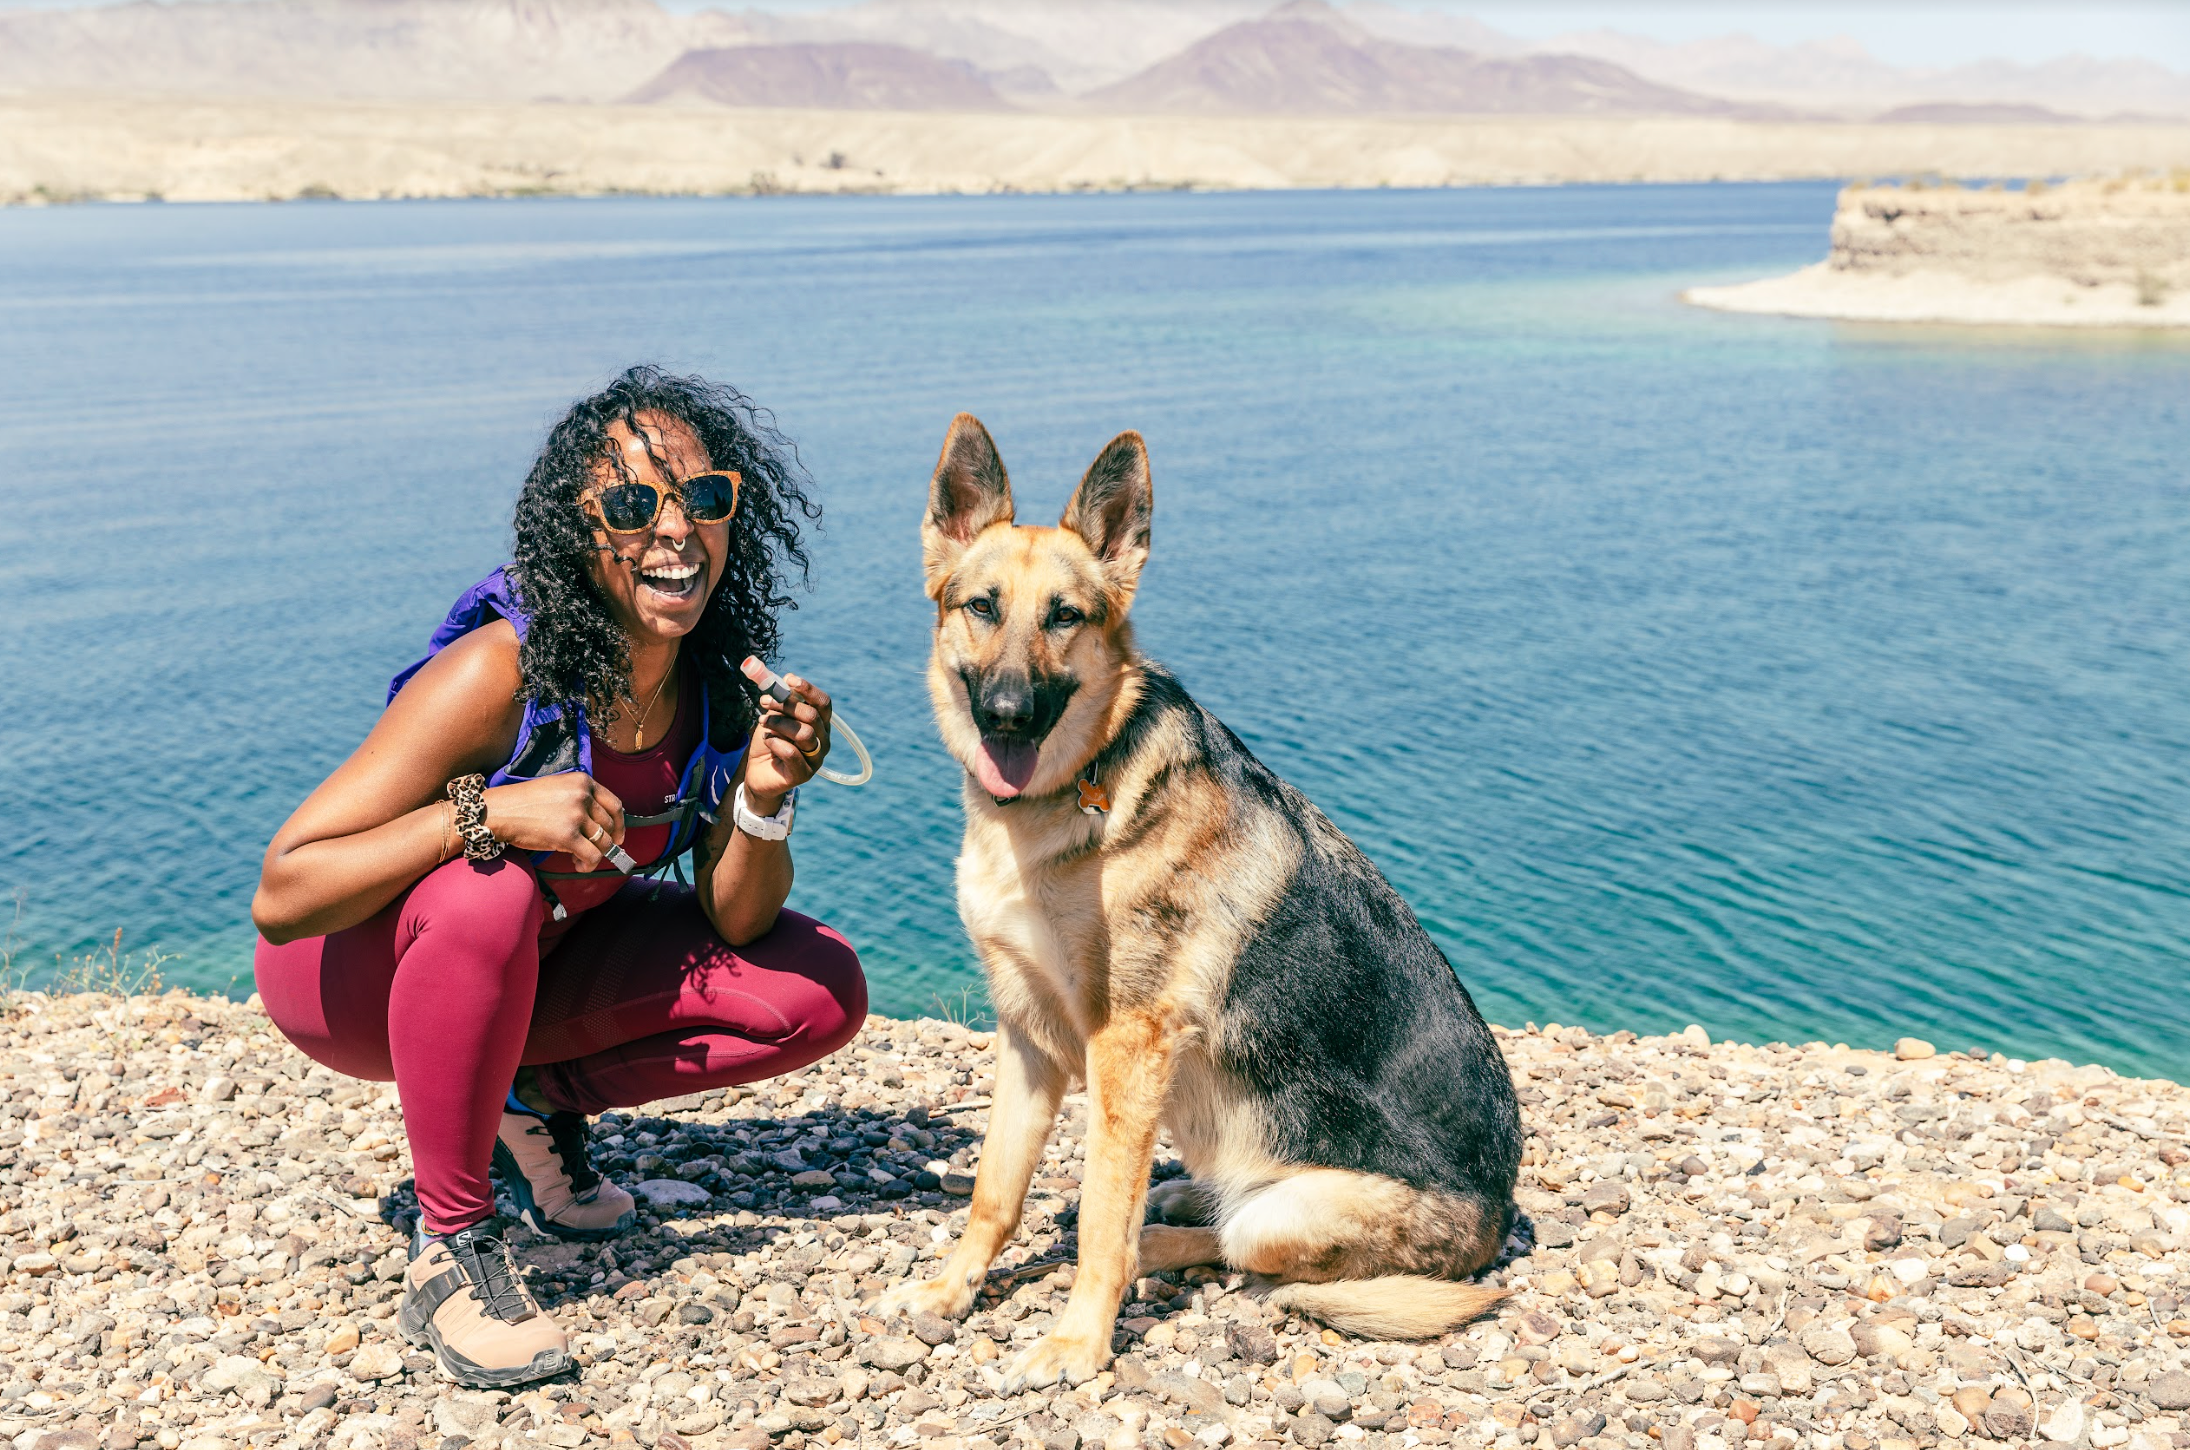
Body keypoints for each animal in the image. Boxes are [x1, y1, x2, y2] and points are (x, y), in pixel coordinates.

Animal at [871, 413, 1524, 1393]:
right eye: (981, 607)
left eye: (1065, 616)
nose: (1008, 713)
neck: (1078, 791)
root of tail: (1498, 1215)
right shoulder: (1028, 1036)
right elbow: (993, 1190)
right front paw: (950, 1292)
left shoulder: (1126, 1047)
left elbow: (1101, 1215)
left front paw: (1078, 1341)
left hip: (1282, 1210)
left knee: (1228, 1244)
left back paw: (1160, 1235)